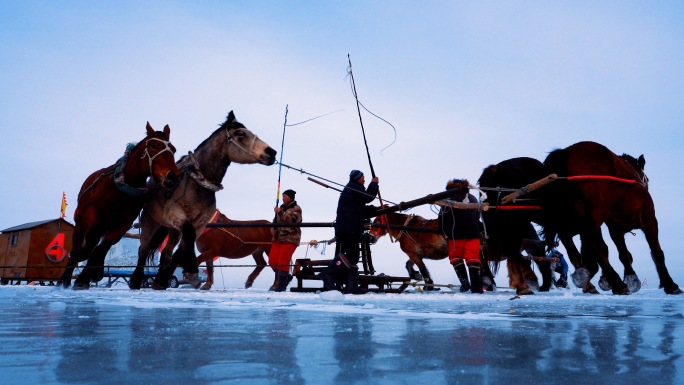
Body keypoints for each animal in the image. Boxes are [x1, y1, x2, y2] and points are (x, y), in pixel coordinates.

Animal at [61, 123, 178, 288]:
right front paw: (79, 262)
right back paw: (65, 277)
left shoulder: (122, 225)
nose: (172, 176)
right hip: (82, 222)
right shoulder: (93, 215)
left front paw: (84, 277)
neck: (122, 189)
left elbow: (101, 248)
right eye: (154, 146)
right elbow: (89, 245)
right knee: (81, 240)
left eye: (173, 149)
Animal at [131, 110, 276, 288]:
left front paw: (167, 278)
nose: (272, 152)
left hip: (173, 229)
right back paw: (136, 280)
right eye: (240, 133)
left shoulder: (199, 223)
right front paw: (190, 271)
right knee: (143, 249)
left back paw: (159, 281)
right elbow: (188, 238)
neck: (198, 183)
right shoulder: (176, 214)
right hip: (150, 221)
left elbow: (180, 251)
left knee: (166, 252)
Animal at [544, 141, 680, 294]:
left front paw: (631, 277)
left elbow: (624, 254)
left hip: (566, 220)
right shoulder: (649, 219)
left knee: (576, 249)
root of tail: (564, 154)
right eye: (648, 179)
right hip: (591, 217)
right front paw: (670, 284)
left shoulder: (615, 228)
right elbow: (657, 252)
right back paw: (607, 279)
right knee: (596, 249)